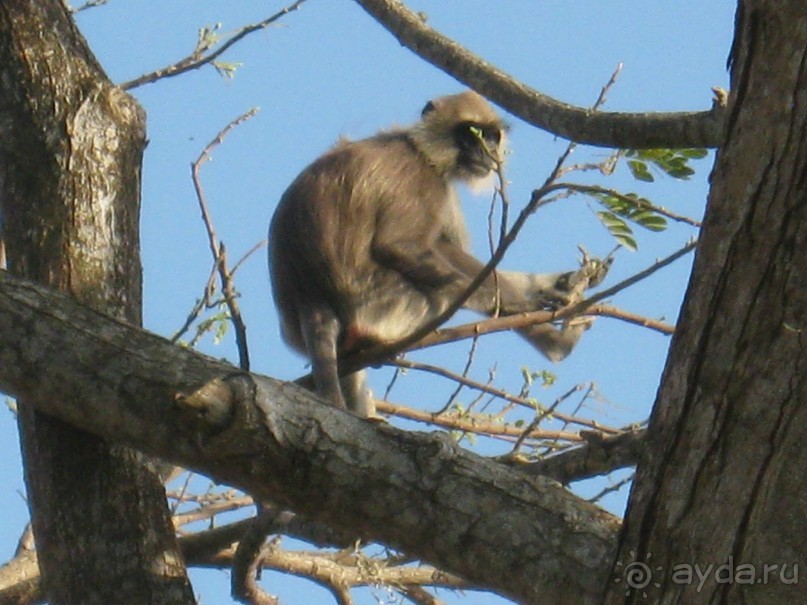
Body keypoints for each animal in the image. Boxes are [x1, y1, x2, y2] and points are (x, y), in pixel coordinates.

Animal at [268, 89, 608, 418]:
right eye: (469, 136)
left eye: (491, 137)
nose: (485, 152)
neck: (417, 147)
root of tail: (310, 298)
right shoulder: (423, 178)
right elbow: (397, 246)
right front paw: (513, 306)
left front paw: (560, 283)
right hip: (383, 304)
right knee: (438, 267)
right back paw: (558, 344)